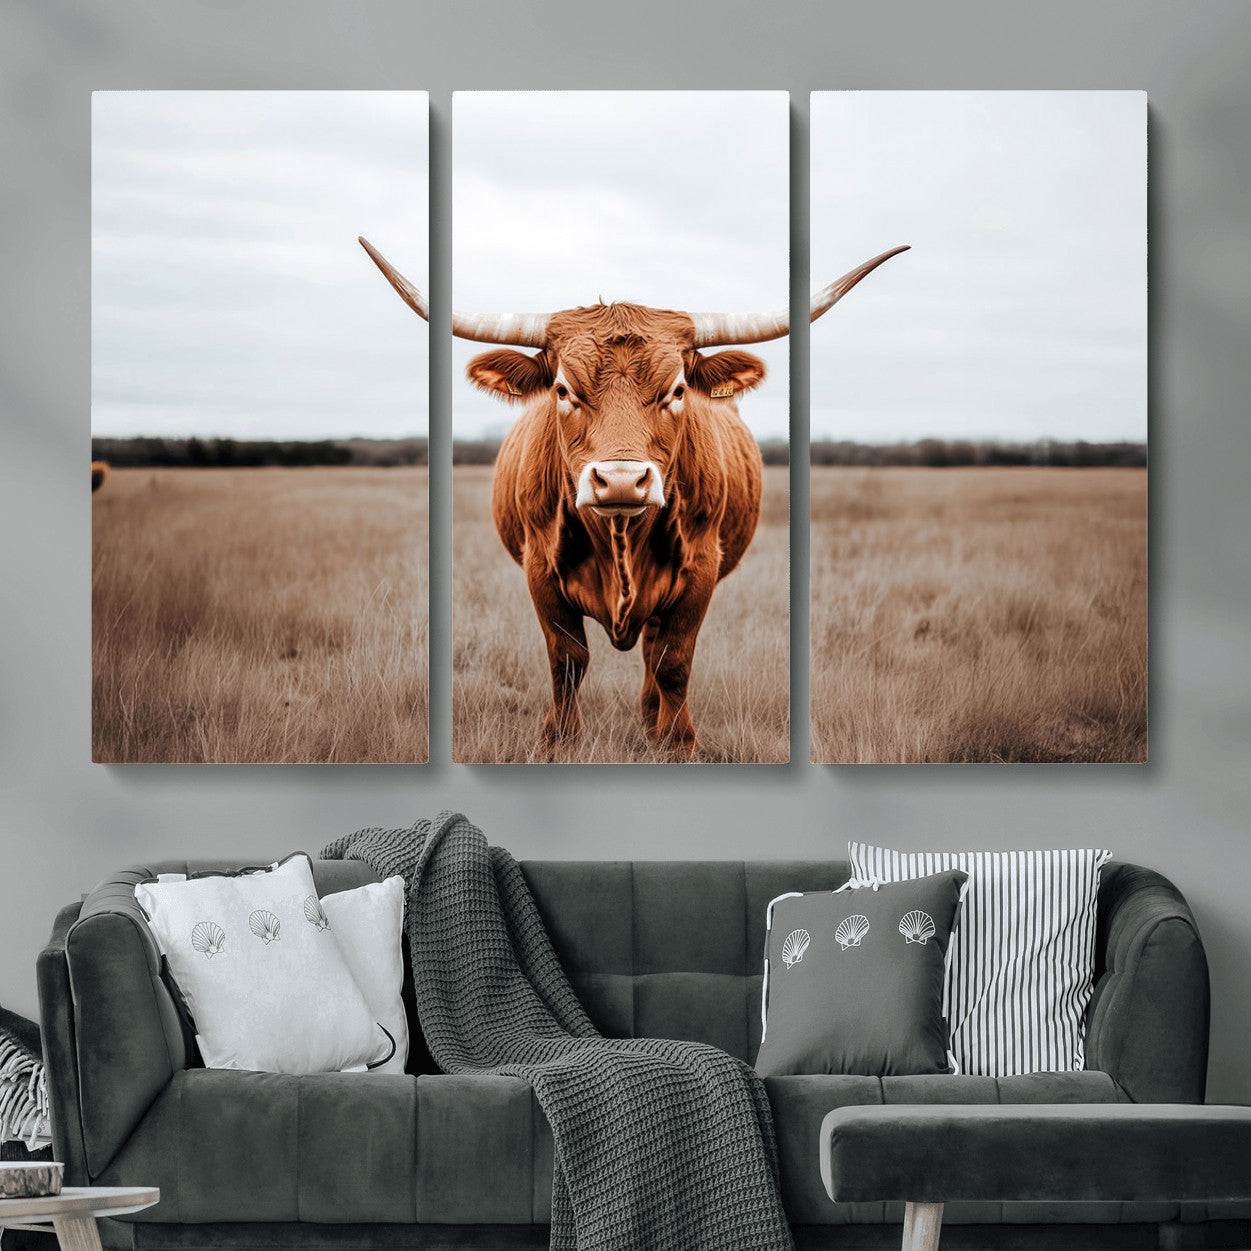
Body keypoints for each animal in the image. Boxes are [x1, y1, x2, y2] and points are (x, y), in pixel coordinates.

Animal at [360, 236, 907, 757]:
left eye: (678, 390)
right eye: (563, 390)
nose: (622, 480)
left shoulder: (700, 569)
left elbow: (672, 662)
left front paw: (678, 743)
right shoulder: (540, 567)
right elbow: (568, 661)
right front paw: (558, 743)